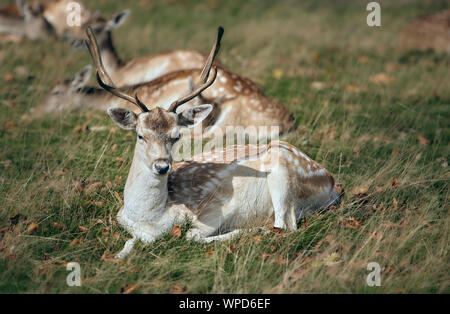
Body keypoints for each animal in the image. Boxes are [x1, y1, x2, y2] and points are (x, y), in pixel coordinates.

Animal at [84, 27, 340, 258]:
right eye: (140, 135)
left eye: (176, 135)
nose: (162, 166)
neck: (148, 219)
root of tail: (332, 181)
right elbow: (128, 243)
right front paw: (118, 255)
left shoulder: (214, 209)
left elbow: (192, 235)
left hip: (284, 172)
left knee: (286, 227)